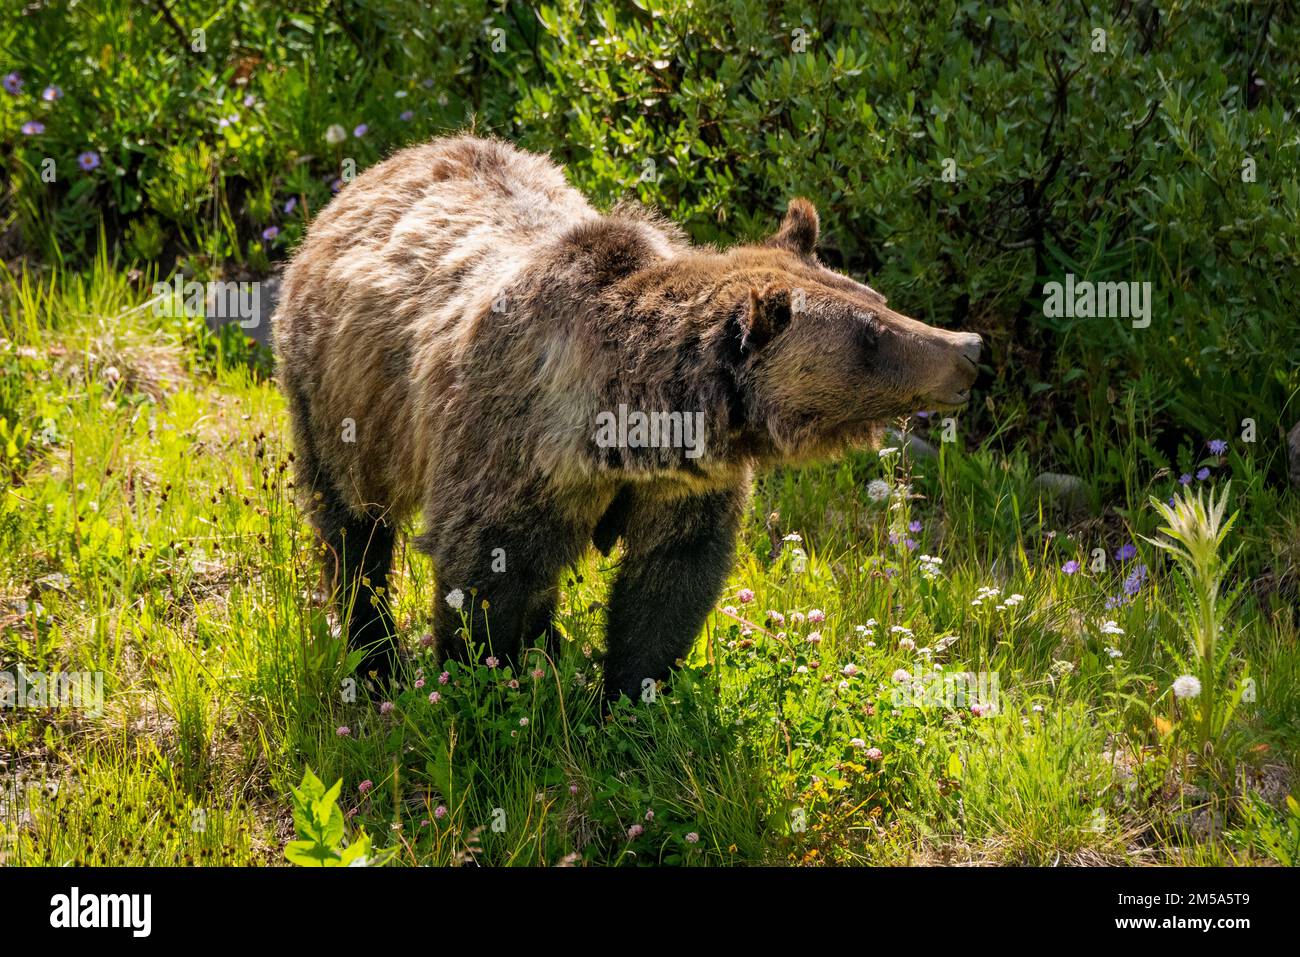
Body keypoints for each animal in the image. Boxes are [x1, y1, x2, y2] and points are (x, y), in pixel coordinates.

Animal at [272, 134, 981, 702]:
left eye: (877, 301)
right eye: (871, 338)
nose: (968, 349)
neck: (626, 427)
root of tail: (382, 168)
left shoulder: (683, 483)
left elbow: (670, 581)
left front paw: (628, 696)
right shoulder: (507, 449)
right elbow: (484, 574)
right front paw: (485, 685)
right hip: (339, 395)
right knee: (352, 527)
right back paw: (372, 656)